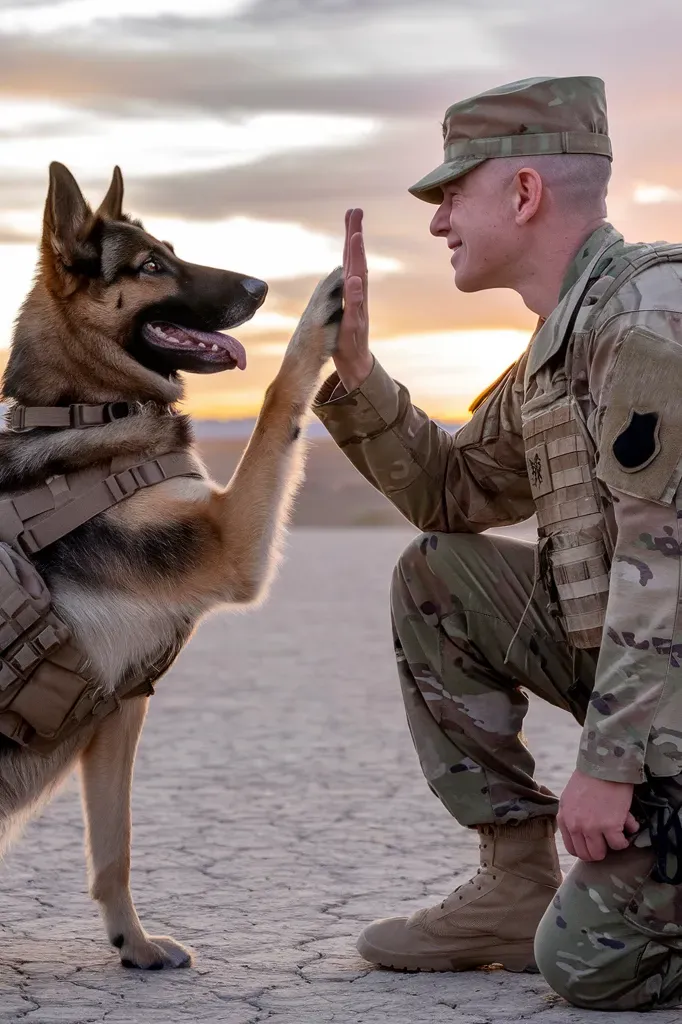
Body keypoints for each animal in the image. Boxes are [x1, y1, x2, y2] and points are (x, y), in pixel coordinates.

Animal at [0, 161, 339, 966]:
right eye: (151, 267)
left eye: (174, 250)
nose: (260, 287)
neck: (86, 413)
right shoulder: (228, 539)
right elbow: (277, 398)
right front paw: (319, 315)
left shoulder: (121, 710)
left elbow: (114, 848)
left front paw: (134, 943)